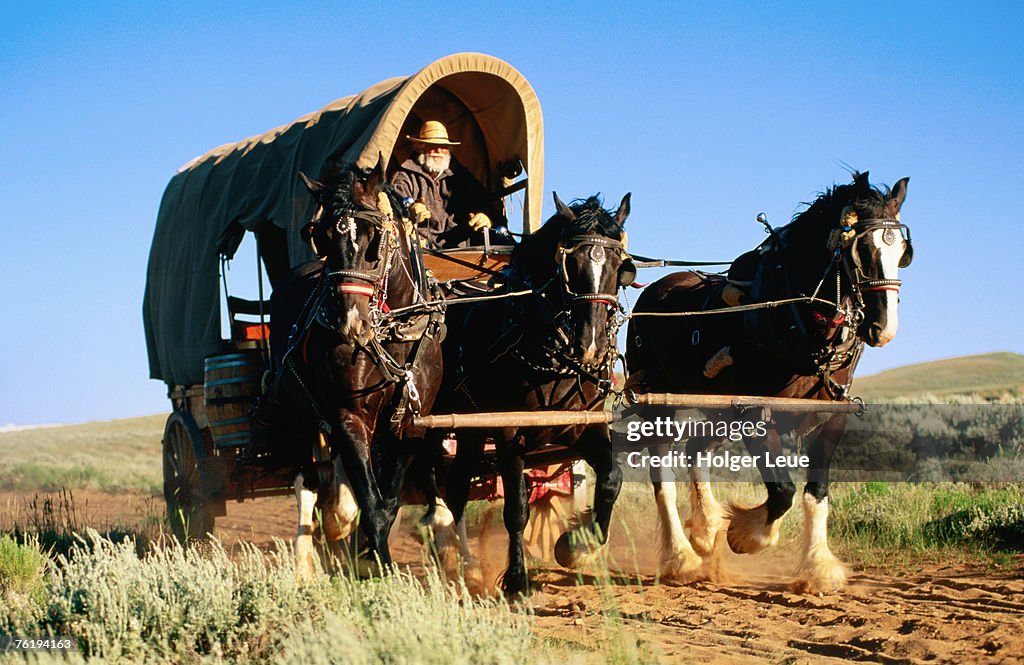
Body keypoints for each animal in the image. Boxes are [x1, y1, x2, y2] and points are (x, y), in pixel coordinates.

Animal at [270, 157, 446, 577]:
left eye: (374, 238)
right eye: (320, 236)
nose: (348, 320)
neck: (393, 331)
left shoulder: (411, 423)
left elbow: (389, 500)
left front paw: (370, 556)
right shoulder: (349, 415)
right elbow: (372, 503)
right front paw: (380, 567)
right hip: (297, 413)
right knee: (307, 484)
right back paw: (305, 562)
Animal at [438, 190, 634, 590]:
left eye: (617, 262)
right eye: (569, 262)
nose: (590, 345)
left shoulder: (585, 426)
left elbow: (611, 479)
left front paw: (574, 545)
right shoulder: (508, 430)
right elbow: (516, 507)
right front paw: (516, 578)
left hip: (468, 427)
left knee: (457, 485)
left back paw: (464, 562)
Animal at [622, 171, 913, 590]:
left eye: (903, 250)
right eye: (861, 250)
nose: (883, 328)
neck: (797, 322)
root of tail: (652, 293)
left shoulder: (832, 417)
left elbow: (815, 492)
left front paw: (818, 567)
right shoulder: (757, 415)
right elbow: (782, 492)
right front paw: (745, 534)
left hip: (719, 410)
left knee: (696, 448)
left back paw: (705, 529)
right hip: (657, 401)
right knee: (662, 472)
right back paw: (683, 556)